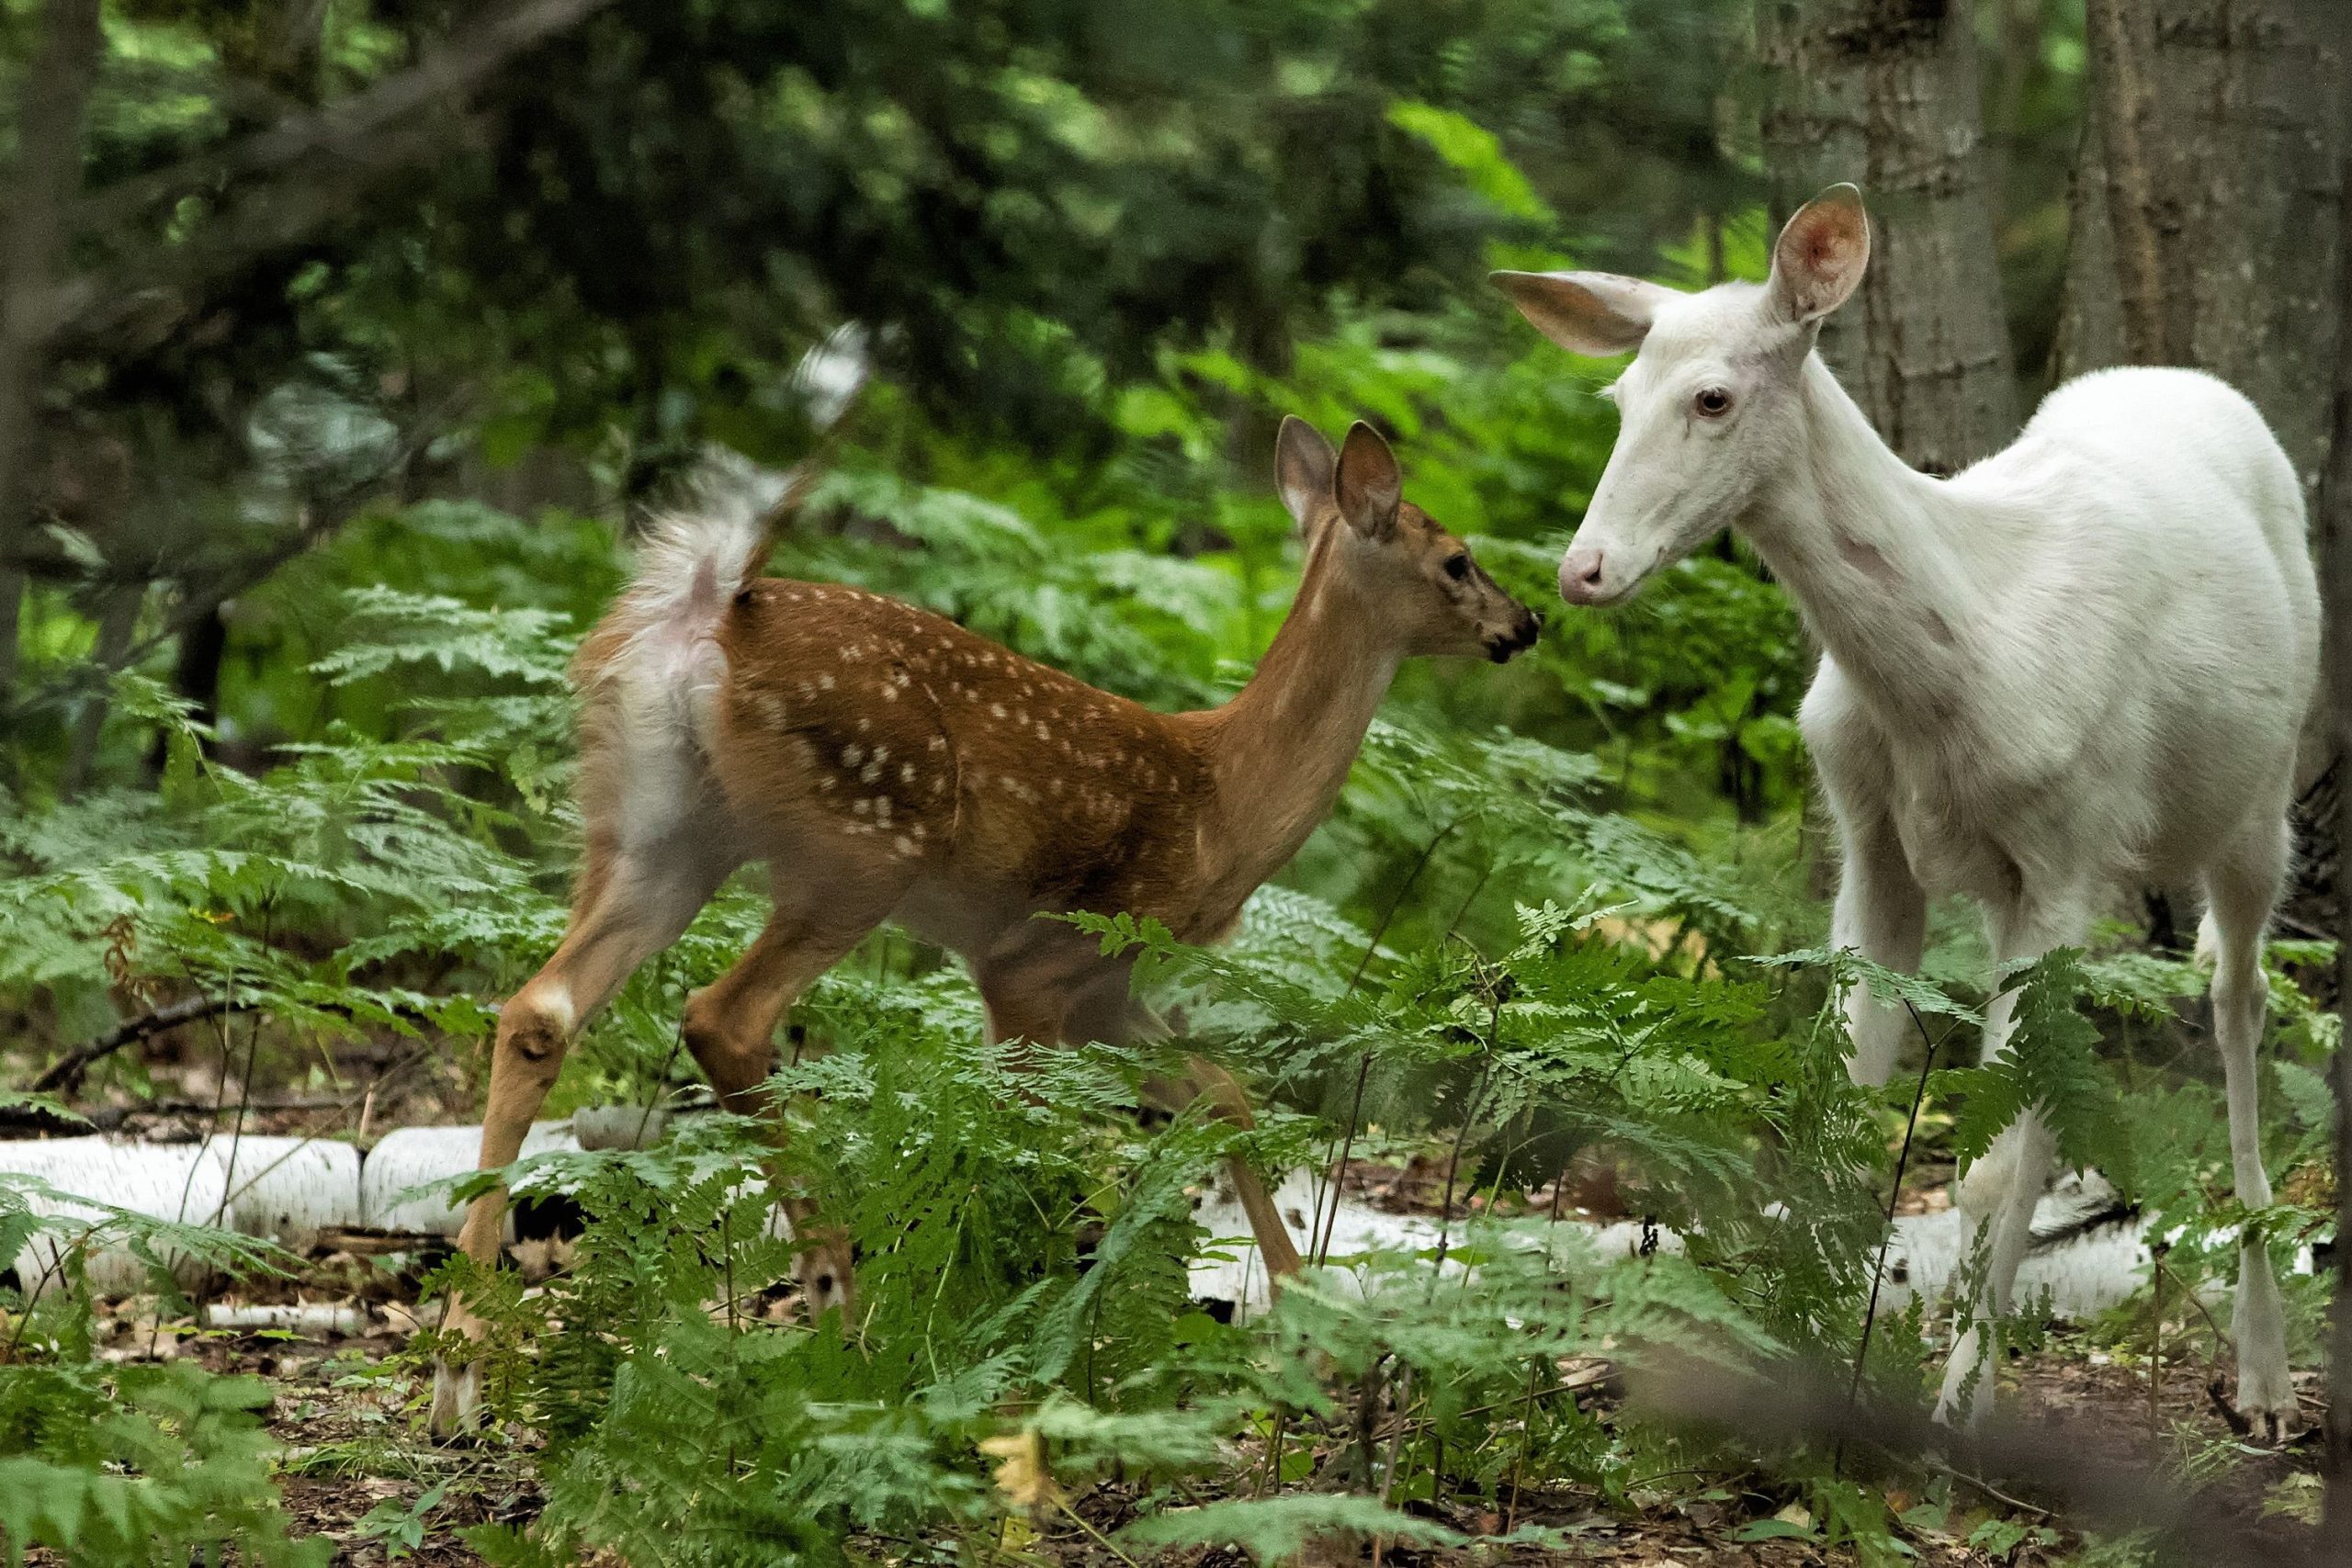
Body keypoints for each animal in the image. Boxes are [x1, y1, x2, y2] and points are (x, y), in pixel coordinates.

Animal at [427, 417, 1542, 1434]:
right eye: (1456, 559)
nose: (1525, 621)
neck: (1221, 801)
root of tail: (710, 606)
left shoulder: (1101, 985)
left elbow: (1223, 1096)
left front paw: (1307, 1317)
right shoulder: (1035, 964)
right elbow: (1029, 1140)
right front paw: (1013, 1350)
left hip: (659, 829)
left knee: (538, 1009)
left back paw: (458, 1379)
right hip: (860, 841)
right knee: (721, 1017)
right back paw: (843, 1306)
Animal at [1494, 185, 2318, 1438]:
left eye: (1712, 397)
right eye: (1617, 397)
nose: (1583, 570)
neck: (1962, 667)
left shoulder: (2065, 853)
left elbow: (1984, 1165)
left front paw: (1955, 1413)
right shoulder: (1871, 843)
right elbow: (1833, 1126)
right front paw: (1798, 1373)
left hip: (2260, 789)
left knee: (2238, 1002)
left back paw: (2265, 1380)